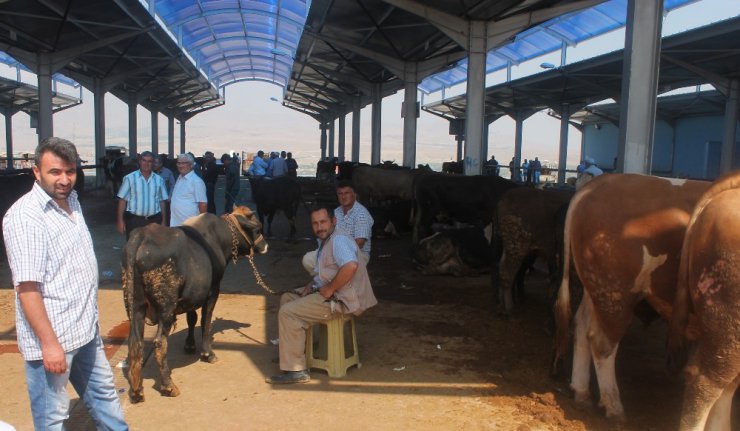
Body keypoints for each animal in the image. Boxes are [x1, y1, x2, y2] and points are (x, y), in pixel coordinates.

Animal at [123, 206, 268, 402]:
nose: (265, 246)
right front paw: (208, 353)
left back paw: (136, 391)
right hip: (166, 309)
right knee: (159, 343)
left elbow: (192, 318)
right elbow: (205, 321)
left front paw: (190, 345)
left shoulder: (191, 296)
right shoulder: (213, 290)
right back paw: (168, 386)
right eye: (258, 229)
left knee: (135, 343)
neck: (219, 237)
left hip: (135, 305)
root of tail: (141, 236)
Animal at [556, 174, 712, 420]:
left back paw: (581, 391)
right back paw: (613, 406)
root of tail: (602, 181)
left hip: (596, 289)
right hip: (615, 292)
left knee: (581, 325)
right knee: (601, 341)